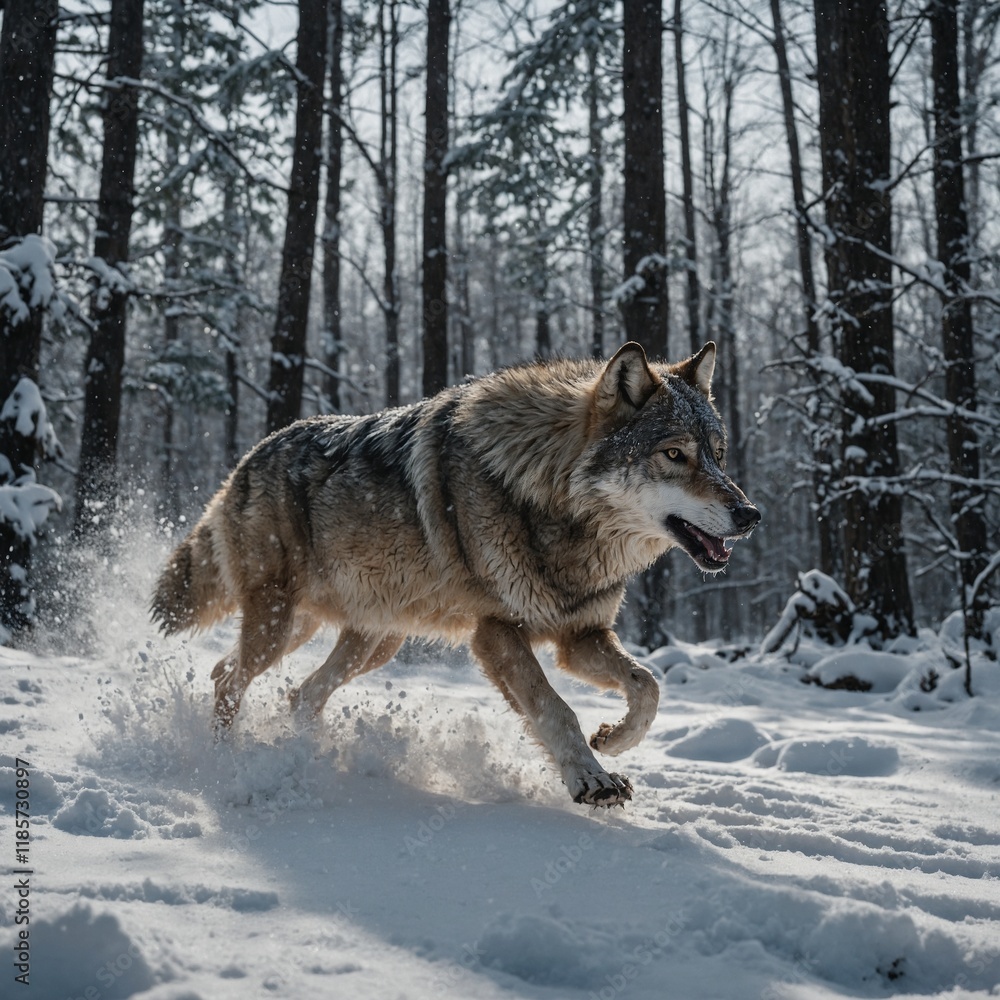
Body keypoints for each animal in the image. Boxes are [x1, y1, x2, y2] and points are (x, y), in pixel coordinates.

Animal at [151, 342, 759, 806]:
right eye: (675, 455)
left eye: (719, 455)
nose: (750, 514)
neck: (551, 501)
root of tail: (244, 461)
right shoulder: (497, 632)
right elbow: (554, 709)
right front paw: (590, 778)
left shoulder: (579, 634)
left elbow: (647, 686)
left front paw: (611, 741)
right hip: (283, 625)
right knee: (232, 680)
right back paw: (223, 761)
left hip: (368, 642)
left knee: (286, 690)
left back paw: (306, 756)